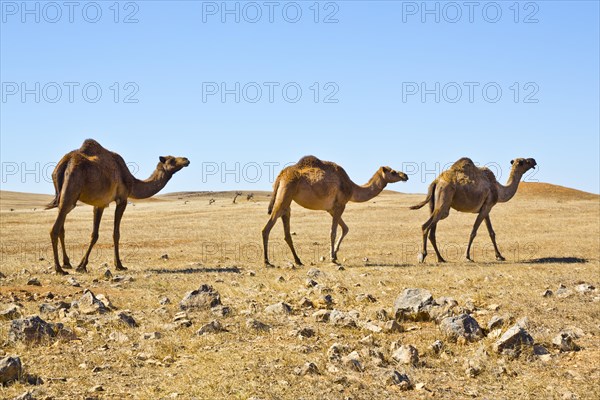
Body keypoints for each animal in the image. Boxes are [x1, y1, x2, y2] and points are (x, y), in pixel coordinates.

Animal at [46, 139, 190, 274]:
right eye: (172, 160)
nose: (186, 160)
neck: (132, 182)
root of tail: (65, 162)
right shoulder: (122, 199)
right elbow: (116, 234)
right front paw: (119, 265)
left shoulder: (100, 203)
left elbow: (94, 234)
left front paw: (82, 265)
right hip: (71, 190)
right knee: (54, 229)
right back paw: (59, 269)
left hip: (64, 197)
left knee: (61, 228)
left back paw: (66, 263)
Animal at [262, 155, 408, 266]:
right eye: (393, 172)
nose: (405, 175)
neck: (352, 188)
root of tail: (281, 176)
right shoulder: (340, 205)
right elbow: (333, 232)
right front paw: (332, 257)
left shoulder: (331, 209)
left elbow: (345, 228)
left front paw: (335, 254)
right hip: (285, 192)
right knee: (266, 228)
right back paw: (267, 261)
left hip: (287, 198)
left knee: (286, 228)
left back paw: (298, 260)